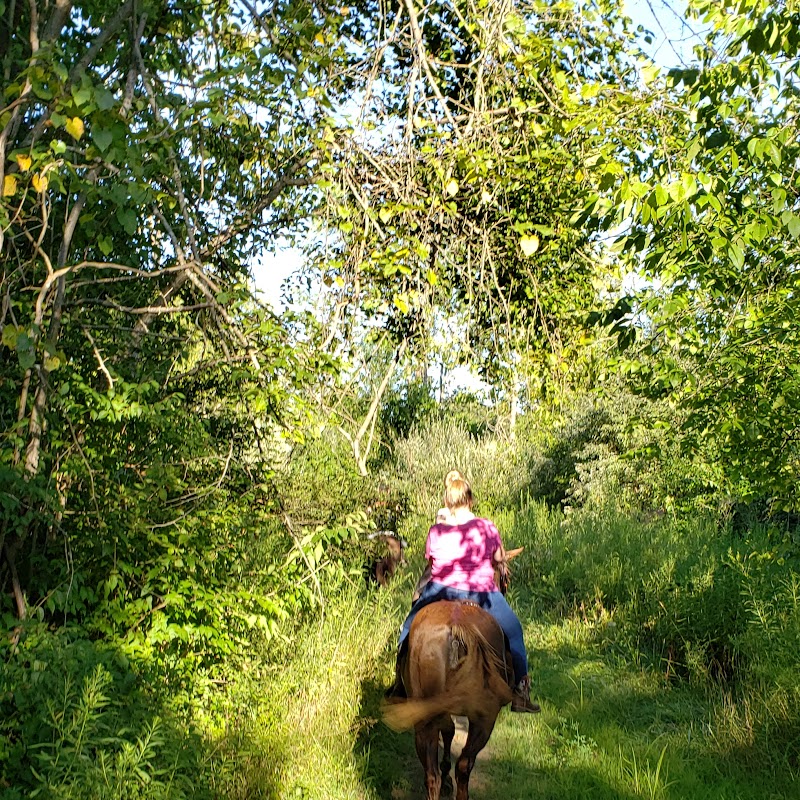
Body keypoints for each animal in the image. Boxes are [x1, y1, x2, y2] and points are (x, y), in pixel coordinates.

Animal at [382, 552, 524, 800]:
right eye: (505, 577)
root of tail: (458, 627)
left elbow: (448, 731)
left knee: (437, 772)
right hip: (481, 717)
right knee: (461, 764)